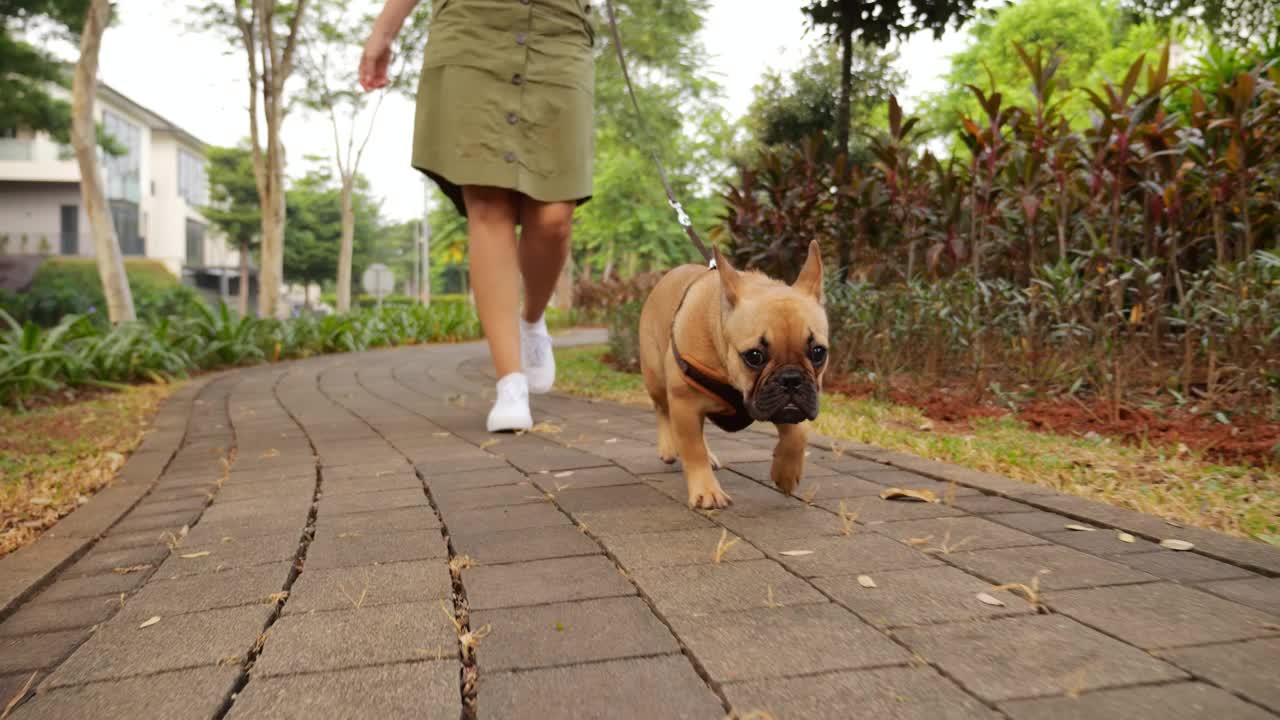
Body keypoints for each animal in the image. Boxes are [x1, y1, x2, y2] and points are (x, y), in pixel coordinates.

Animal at [637, 239, 829, 504]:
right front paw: (706, 492)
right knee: (662, 409)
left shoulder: (783, 407)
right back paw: (668, 448)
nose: (791, 379)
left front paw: (786, 474)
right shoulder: (685, 403)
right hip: (656, 377)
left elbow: (798, 434)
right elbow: (692, 449)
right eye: (754, 356)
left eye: (819, 352)